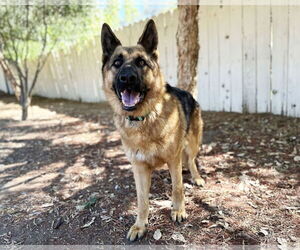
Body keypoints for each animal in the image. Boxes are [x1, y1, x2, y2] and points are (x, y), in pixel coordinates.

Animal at [101, 18, 204, 241]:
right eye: (117, 63)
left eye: (141, 62)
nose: (127, 78)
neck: (144, 118)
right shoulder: (139, 168)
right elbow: (142, 201)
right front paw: (140, 225)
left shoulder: (173, 159)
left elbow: (177, 188)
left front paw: (178, 210)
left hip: (193, 143)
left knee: (191, 161)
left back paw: (197, 177)